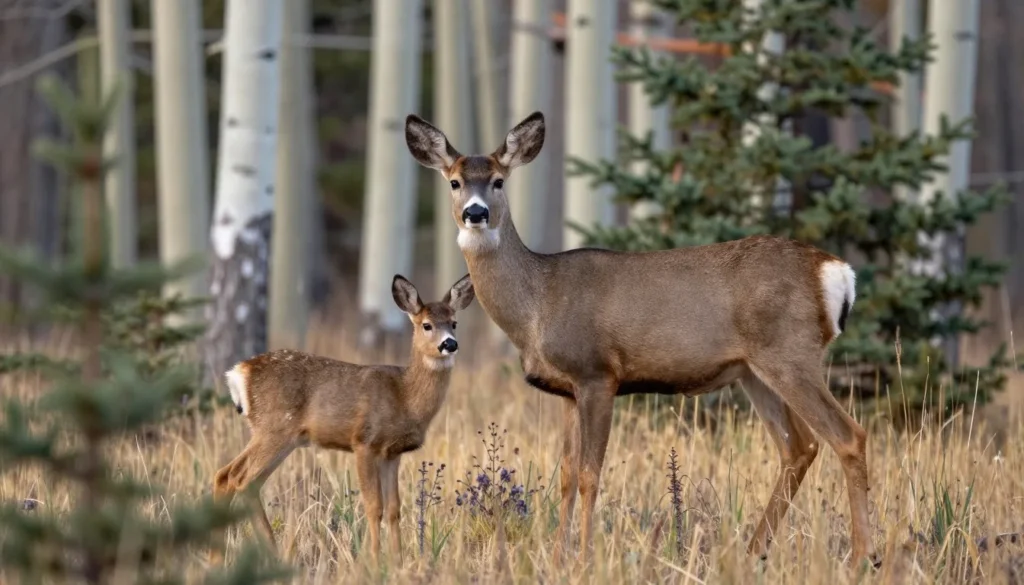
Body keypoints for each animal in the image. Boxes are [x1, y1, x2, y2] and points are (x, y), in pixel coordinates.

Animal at [210, 273, 475, 564]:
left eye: (454, 322)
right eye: (427, 325)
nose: (449, 344)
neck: (404, 396)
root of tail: (239, 373)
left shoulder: (392, 453)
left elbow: (394, 509)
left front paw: (398, 561)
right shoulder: (364, 441)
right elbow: (374, 506)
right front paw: (373, 561)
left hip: (281, 437)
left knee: (231, 477)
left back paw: (238, 556)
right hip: (274, 428)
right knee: (238, 477)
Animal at [404, 111, 878, 567]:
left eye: (499, 180)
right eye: (454, 181)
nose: (476, 213)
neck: (538, 303)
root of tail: (836, 272)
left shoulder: (598, 374)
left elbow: (591, 474)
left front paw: (585, 558)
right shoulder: (566, 390)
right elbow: (566, 475)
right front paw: (557, 559)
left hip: (790, 353)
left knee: (848, 435)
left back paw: (862, 558)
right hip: (754, 371)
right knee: (800, 447)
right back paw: (753, 552)